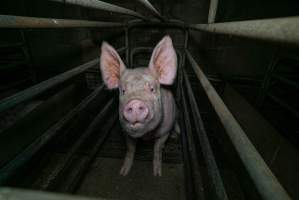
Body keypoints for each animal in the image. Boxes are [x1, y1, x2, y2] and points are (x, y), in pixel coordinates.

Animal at [101, 35, 177, 176]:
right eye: (123, 91)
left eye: (152, 89)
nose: (135, 103)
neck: (146, 135)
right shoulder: (125, 131)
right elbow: (130, 148)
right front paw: (123, 172)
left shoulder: (165, 131)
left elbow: (158, 148)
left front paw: (157, 174)